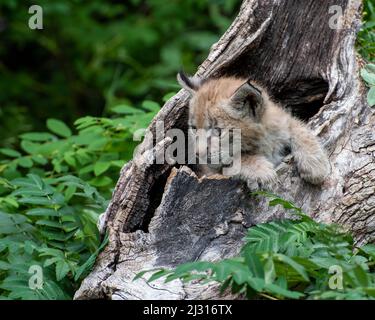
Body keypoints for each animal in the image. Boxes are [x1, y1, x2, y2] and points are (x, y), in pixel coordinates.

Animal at [178, 72, 330, 188]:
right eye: (194, 128)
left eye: (218, 131)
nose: (198, 154)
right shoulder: (212, 170)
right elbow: (237, 158)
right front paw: (262, 172)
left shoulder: (284, 120)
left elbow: (300, 130)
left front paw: (315, 165)